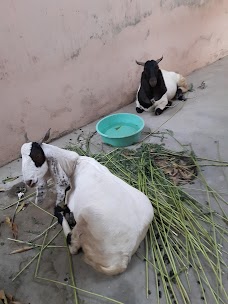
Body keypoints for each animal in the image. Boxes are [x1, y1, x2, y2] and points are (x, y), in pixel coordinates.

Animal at [20, 129, 153, 276]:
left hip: (86, 217)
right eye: (21, 157)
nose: (29, 182)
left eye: (37, 155)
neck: (74, 165)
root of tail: (123, 258)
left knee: (73, 245)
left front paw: (61, 210)